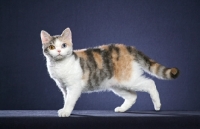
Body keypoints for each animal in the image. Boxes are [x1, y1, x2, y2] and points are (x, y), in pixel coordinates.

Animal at [39, 27, 179, 117]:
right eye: (51, 47)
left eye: (63, 45)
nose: (58, 51)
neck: (60, 65)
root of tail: (128, 48)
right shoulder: (63, 87)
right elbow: (66, 98)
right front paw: (66, 109)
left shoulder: (74, 86)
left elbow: (70, 100)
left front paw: (65, 111)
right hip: (117, 84)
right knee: (133, 96)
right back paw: (122, 109)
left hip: (129, 79)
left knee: (150, 83)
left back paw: (157, 105)